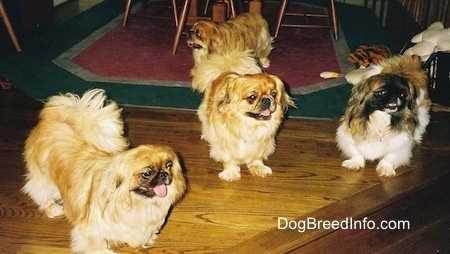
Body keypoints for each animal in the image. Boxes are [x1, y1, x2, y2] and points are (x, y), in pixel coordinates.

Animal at [20, 89, 186, 252]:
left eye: (168, 165)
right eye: (147, 173)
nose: (164, 174)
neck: (138, 204)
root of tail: (53, 118)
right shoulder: (90, 232)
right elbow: (98, 246)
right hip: (43, 179)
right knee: (39, 192)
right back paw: (52, 208)